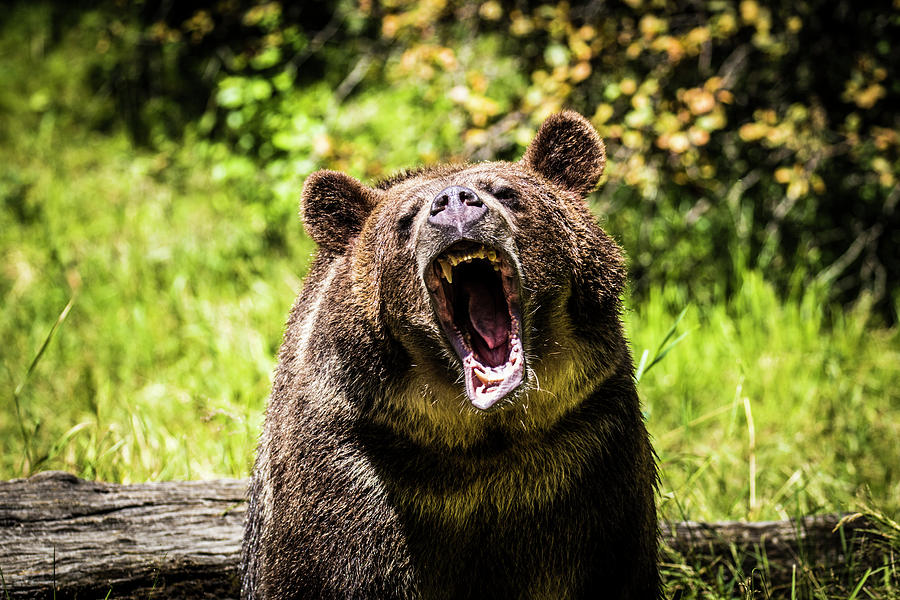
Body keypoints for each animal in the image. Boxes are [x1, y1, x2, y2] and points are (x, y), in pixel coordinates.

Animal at [243, 110, 656, 596]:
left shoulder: (589, 453)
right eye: (406, 219)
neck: (477, 439)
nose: (455, 201)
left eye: (506, 193)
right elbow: (327, 566)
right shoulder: (353, 471)